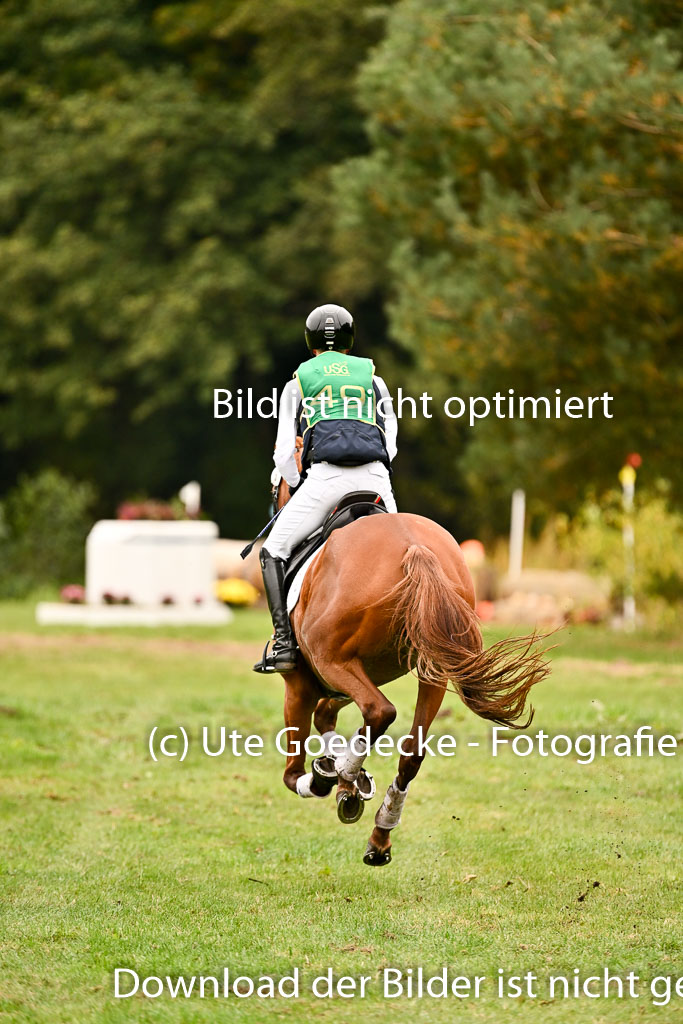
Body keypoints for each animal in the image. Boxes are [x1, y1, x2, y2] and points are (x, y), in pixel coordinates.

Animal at [268, 467, 550, 867]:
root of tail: (413, 547)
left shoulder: (303, 683)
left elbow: (294, 772)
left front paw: (329, 777)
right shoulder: (355, 675)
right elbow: (326, 716)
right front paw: (342, 777)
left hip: (333, 661)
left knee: (380, 711)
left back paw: (347, 779)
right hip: (434, 667)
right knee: (411, 751)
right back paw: (379, 832)